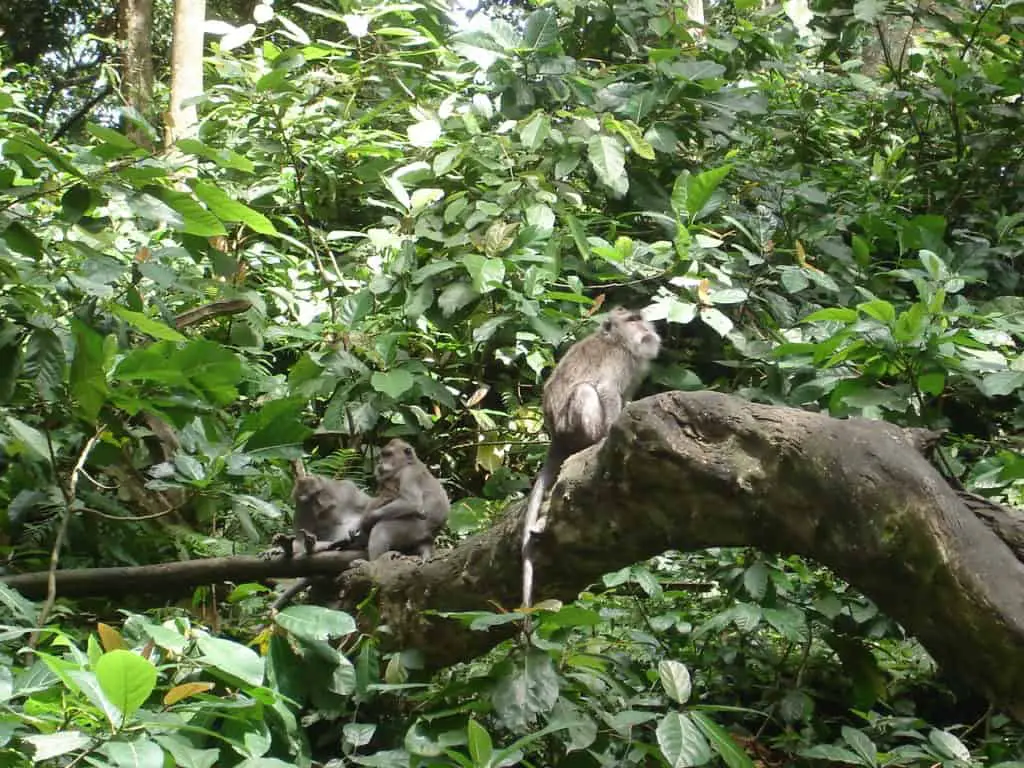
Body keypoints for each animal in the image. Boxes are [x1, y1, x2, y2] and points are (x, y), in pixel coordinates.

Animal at [520, 307, 663, 614]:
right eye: (633, 320)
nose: (647, 329)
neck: (619, 342)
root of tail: (556, 437)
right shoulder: (618, 360)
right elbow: (607, 391)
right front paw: (611, 431)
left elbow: (624, 397)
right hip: (573, 426)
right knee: (585, 391)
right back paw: (594, 440)